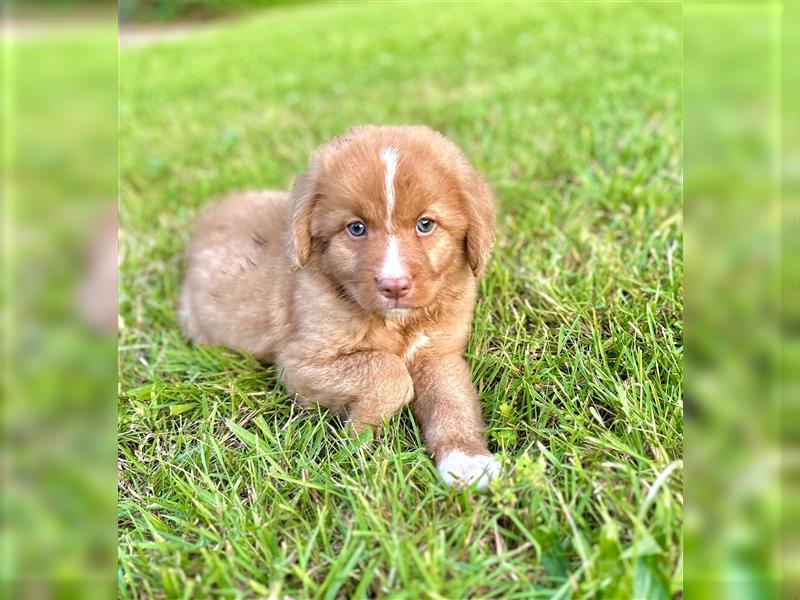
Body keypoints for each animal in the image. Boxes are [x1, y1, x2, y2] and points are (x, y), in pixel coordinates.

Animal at [180, 125, 500, 488]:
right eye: (356, 228)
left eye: (426, 224)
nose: (394, 286)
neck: (397, 323)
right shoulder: (301, 363)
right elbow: (388, 371)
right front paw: (360, 437)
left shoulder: (439, 354)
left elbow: (453, 401)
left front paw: (466, 459)